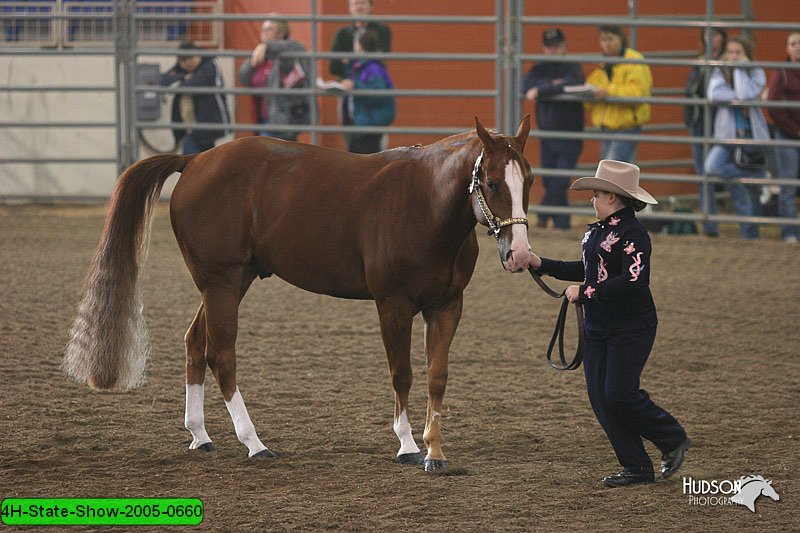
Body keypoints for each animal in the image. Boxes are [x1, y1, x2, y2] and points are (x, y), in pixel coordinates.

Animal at [62, 115, 536, 470]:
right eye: (492, 182)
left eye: (528, 181)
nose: (520, 254)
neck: (423, 203)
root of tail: (195, 159)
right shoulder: (393, 306)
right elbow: (401, 374)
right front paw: (407, 445)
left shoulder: (447, 306)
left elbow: (438, 376)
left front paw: (435, 452)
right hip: (221, 282)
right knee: (221, 354)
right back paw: (254, 443)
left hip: (232, 282)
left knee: (195, 343)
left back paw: (201, 436)